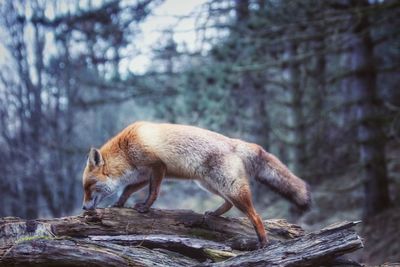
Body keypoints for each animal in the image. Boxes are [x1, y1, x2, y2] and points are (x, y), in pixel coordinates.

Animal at [82, 121, 312, 247]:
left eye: (89, 187)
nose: (84, 208)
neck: (127, 150)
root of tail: (235, 142)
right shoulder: (143, 174)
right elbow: (127, 189)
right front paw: (119, 204)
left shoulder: (157, 167)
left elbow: (153, 192)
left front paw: (145, 208)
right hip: (210, 184)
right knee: (228, 204)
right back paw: (214, 215)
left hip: (229, 187)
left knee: (255, 215)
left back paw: (263, 241)